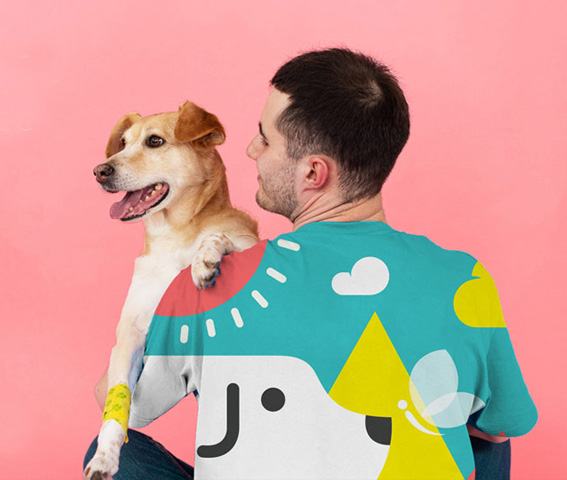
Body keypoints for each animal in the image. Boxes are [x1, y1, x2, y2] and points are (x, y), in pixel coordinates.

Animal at [84, 101, 259, 479]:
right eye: (122, 143)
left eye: (155, 141)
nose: (99, 171)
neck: (173, 237)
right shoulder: (130, 337)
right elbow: (118, 404)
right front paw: (104, 457)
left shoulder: (247, 242)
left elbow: (220, 237)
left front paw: (204, 258)